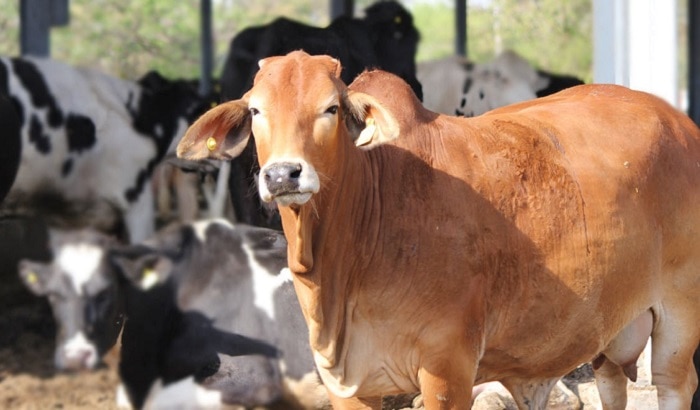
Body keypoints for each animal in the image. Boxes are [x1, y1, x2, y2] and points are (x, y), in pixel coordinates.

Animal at [178, 52, 700, 410]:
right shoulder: (347, 383)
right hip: (612, 329)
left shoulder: (448, 369)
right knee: (613, 385)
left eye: (330, 109)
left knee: (674, 384)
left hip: (678, 317)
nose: (283, 175)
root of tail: (679, 122)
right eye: (256, 111)